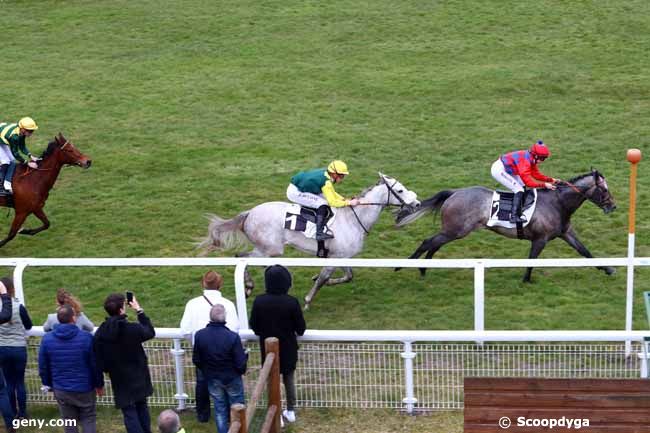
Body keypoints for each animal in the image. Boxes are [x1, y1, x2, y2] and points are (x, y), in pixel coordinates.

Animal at [199, 172, 420, 308]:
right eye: (400, 190)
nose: (417, 203)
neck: (354, 219)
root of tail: (250, 213)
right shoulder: (335, 258)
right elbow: (323, 279)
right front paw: (307, 300)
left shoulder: (342, 256)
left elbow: (347, 277)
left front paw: (322, 281)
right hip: (271, 248)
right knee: (241, 257)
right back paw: (249, 286)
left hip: (267, 250)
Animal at [392, 167, 616, 282]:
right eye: (604, 190)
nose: (613, 206)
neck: (558, 203)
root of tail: (454, 192)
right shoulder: (540, 239)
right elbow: (531, 260)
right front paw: (526, 280)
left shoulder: (566, 233)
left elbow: (585, 251)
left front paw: (608, 269)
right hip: (455, 230)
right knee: (427, 242)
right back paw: (404, 266)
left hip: (453, 231)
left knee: (434, 244)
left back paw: (423, 269)